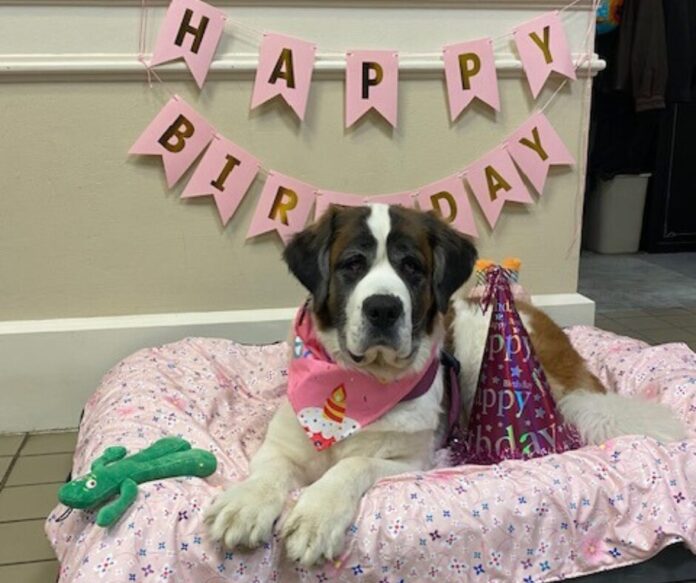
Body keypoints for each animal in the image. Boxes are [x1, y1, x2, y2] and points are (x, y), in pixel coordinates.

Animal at [205, 204, 684, 564]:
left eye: (411, 267)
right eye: (353, 264)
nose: (383, 308)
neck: (361, 385)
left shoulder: (411, 461)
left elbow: (352, 465)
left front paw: (315, 517)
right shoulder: (282, 444)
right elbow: (269, 473)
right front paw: (244, 504)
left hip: (477, 340)